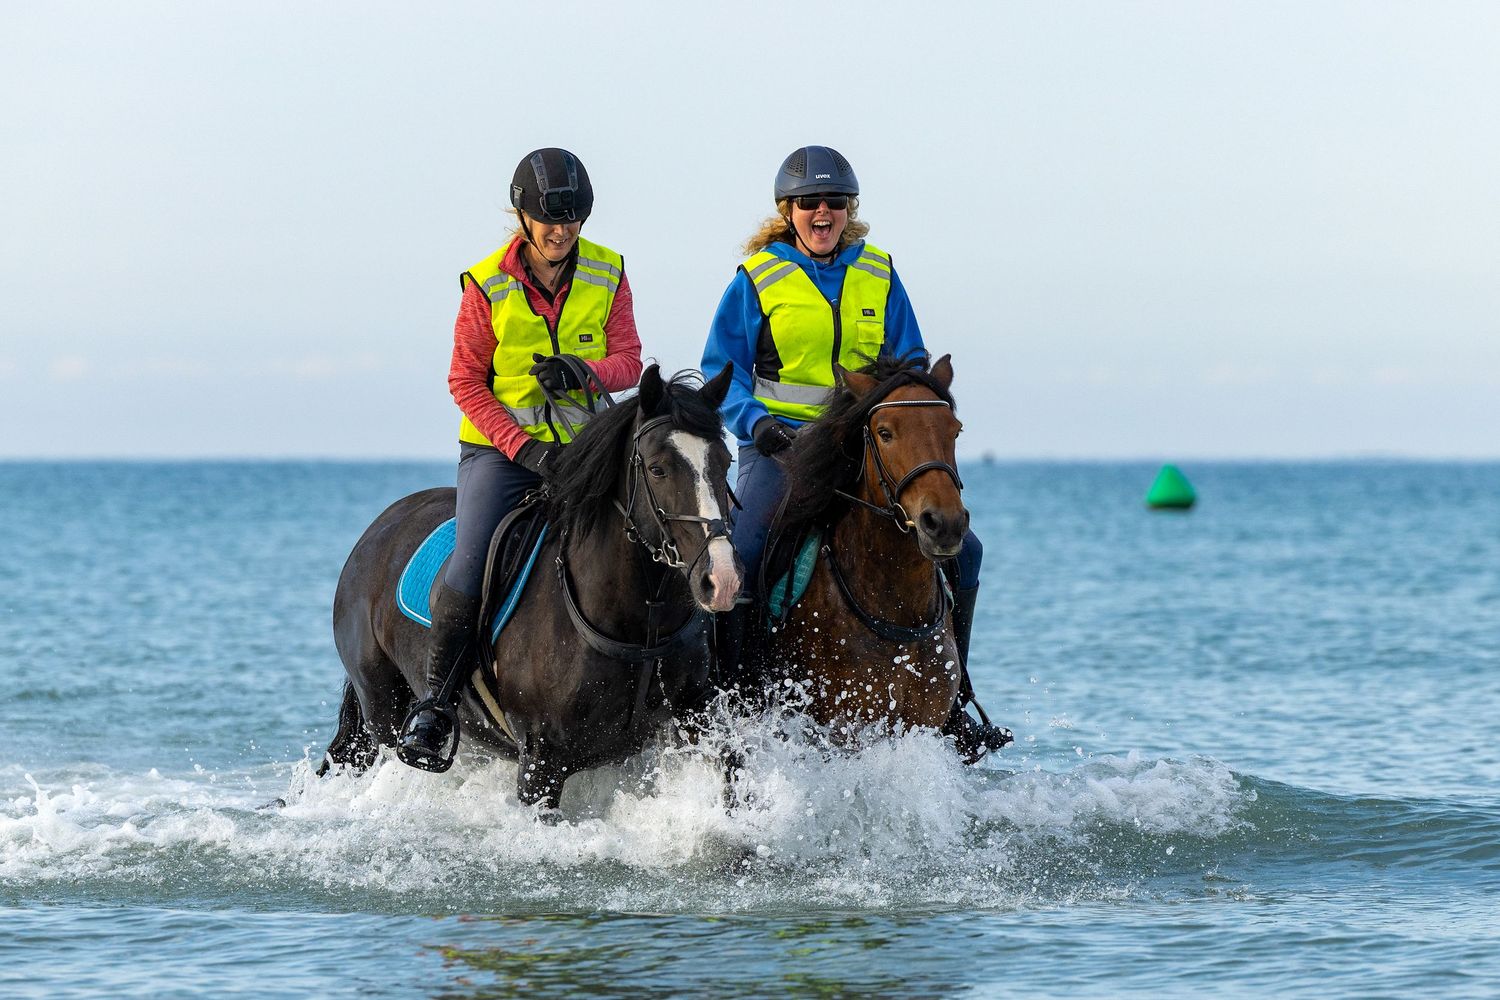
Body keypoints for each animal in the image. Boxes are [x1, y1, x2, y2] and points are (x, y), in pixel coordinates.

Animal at [320, 364, 743, 810]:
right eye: (658, 468)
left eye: (724, 461)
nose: (722, 579)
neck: (637, 622)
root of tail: (378, 528)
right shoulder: (542, 760)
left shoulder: (699, 715)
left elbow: (731, 772)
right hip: (381, 706)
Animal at [736, 354, 970, 742]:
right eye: (885, 433)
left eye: (955, 430)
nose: (944, 523)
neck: (897, 611)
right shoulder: (844, 726)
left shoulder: (923, 725)